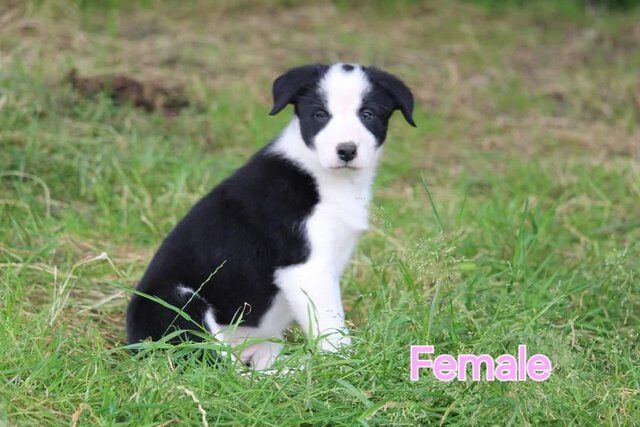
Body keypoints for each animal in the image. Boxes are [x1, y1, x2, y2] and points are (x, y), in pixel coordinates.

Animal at [126, 63, 416, 372]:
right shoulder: (306, 269)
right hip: (180, 302)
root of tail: (133, 344)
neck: (325, 177)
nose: (346, 150)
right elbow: (331, 329)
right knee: (220, 367)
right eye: (320, 114)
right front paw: (344, 367)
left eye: (368, 114)